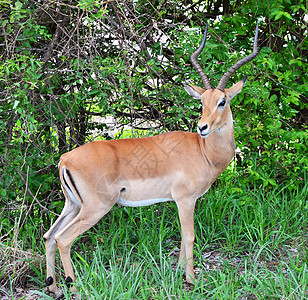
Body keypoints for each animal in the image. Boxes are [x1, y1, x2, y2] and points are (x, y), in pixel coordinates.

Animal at [43, 22, 258, 294]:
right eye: (202, 101)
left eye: (222, 101)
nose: (202, 127)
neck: (203, 151)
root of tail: (65, 159)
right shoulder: (186, 199)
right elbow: (189, 236)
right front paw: (192, 280)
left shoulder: (179, 201)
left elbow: (182, 236)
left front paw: (178, 273)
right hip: (95, 208)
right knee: (63, 239)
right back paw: (74, 287)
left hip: (72, 205)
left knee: (49, 236)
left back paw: (54, 287)